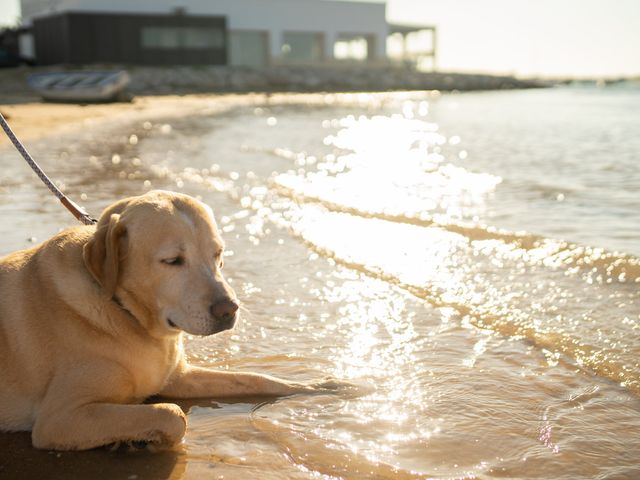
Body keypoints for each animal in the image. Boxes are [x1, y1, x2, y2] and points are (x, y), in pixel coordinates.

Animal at [0, 190, 330, 450]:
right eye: (172, 261)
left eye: (218, 254)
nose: (230, 309)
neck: (127, 314)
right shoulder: (60, 419)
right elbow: (172, 414)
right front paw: (142, 440)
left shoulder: (179, 375)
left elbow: (254, 378)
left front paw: (317, 387)